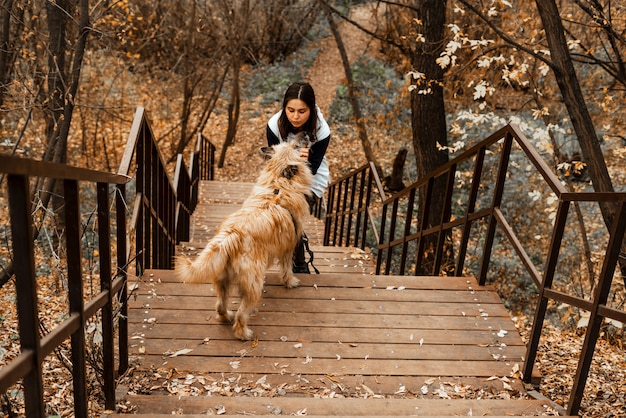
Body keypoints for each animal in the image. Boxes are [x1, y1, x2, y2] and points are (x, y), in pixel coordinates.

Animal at [174, 133, 312, 340]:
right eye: (295, 146)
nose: (304, 133)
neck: (278, 184)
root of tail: (228, 238)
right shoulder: (288, 247)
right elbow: (287, 268)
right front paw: (290, 282)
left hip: (222, 279)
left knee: (220, 305)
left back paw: (226, 317)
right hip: (253, 283)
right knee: (242, 313)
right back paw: (244, 333)